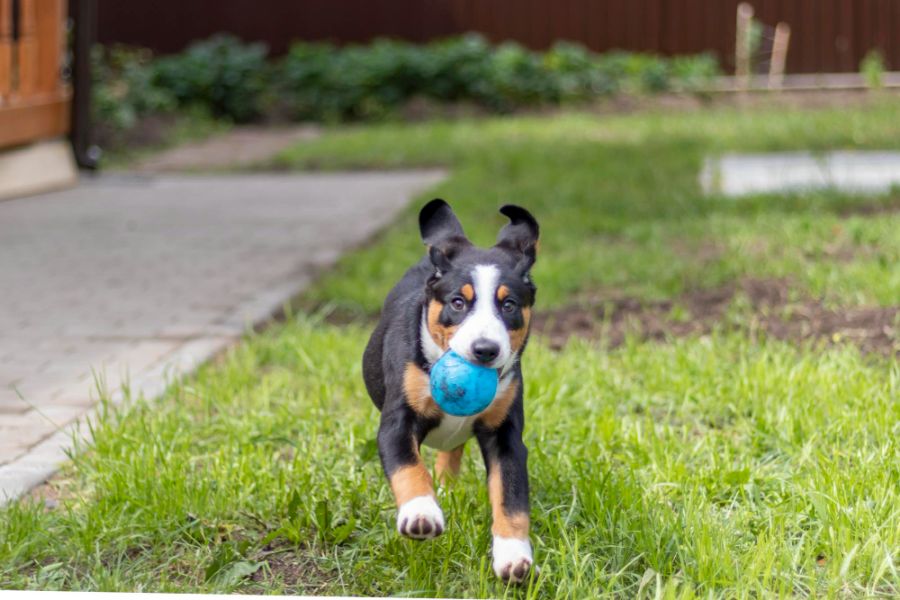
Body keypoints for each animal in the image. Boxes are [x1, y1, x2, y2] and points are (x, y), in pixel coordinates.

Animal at [362, 199, 536, 584]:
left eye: (509, 305)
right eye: (458, 302)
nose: (485, 349)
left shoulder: (505, 434)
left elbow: (511, 496)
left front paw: (513, 555)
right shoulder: (397, 421)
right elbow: (408, 466)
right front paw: (421, 512)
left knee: (452, 449)